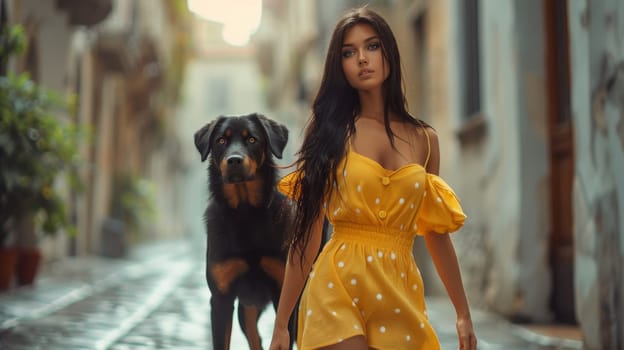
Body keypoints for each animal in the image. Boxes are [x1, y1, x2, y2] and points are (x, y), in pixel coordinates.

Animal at [194, 114, 294, 350]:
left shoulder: (283, 295)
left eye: (252, 139)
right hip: (246, 308)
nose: (234, 160)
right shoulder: (221, 298)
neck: (246, 212)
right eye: (221, 140)